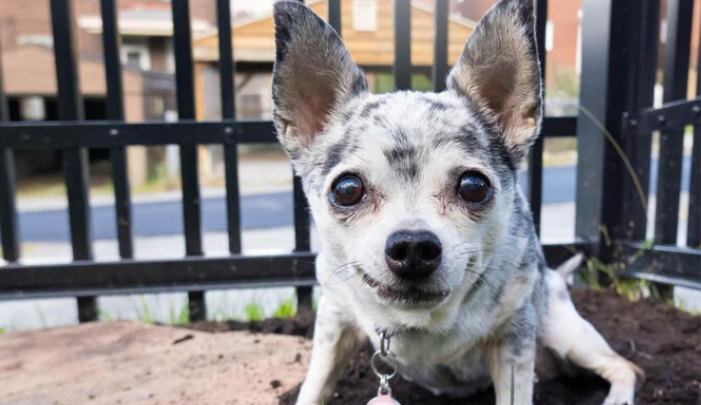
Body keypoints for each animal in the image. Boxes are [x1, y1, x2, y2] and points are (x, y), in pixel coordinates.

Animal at [270, 0, 644, 402]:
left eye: (474, 186)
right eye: (346, 190)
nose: (413, 246)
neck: (422, 322)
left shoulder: (513, 337)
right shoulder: (334, 320)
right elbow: (315, 383)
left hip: (564, 333)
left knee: (626, 366)